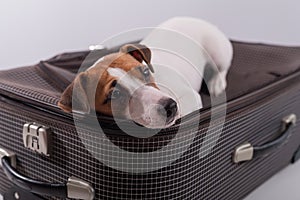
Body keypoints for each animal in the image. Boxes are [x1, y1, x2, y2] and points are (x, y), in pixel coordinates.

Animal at [57, 16, 233, 128]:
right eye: (114, 94)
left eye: (146, 72)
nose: (170, 106)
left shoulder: (190, 96)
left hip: (217, 50)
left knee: (221, 67)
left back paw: (217, 81)